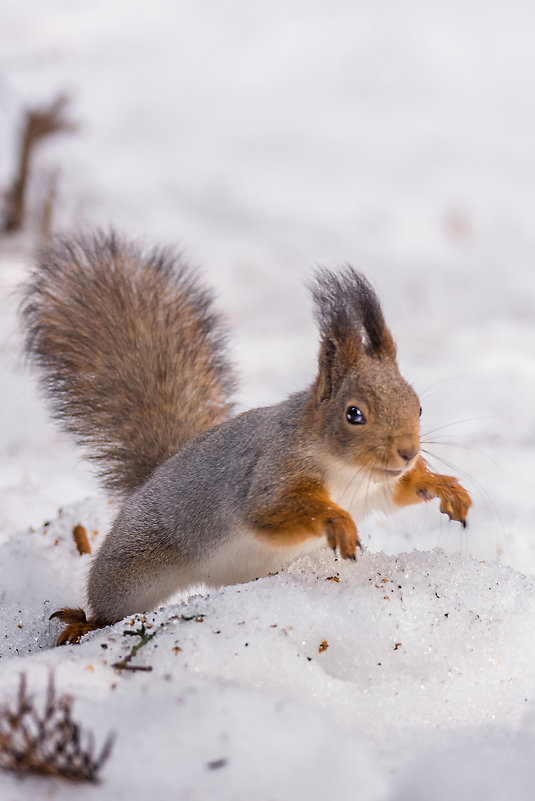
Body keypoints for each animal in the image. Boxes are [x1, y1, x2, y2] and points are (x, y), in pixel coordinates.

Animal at [19, 230, 474, 644]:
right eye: (354, 414)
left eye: (419, 407)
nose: (408, 452)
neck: (344, 469)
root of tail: (151, 478)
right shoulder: (271, 472)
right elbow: (271, 512)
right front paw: (335, 520)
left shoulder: (378, 486)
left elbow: (401, 492)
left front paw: (445, 487)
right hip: (131, 568)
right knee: (110, 605)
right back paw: (84, 623)